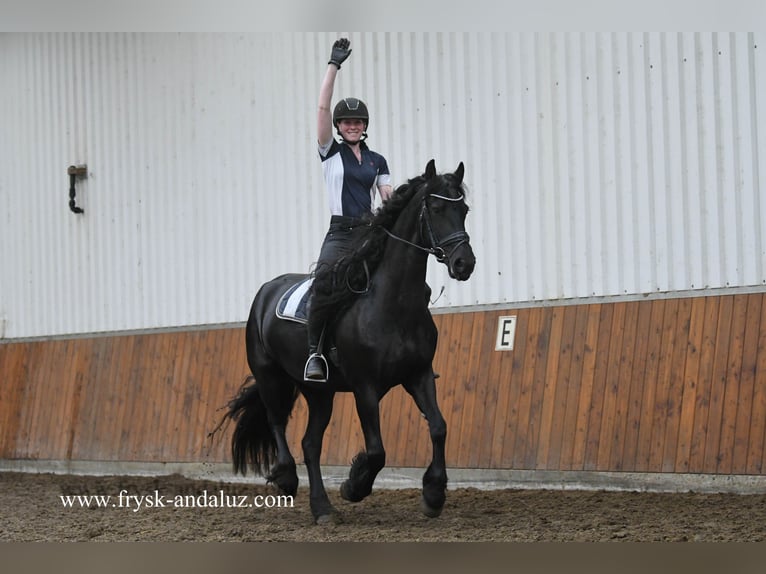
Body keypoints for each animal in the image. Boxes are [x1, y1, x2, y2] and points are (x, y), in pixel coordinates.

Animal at [217, 160, 476, 524]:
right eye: (437, 209)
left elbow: (439, 427)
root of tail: (266, 290)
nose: (464, 263)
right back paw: (286, 478)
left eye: (463, 210)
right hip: (271, 377)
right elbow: (377, 450)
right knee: (276, 421)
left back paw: (322, 508)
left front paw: (434, 495)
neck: (394, 303)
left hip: (319, 393)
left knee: (310, 444)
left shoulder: (419, 374)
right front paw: (354, 486)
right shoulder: (364, 387)